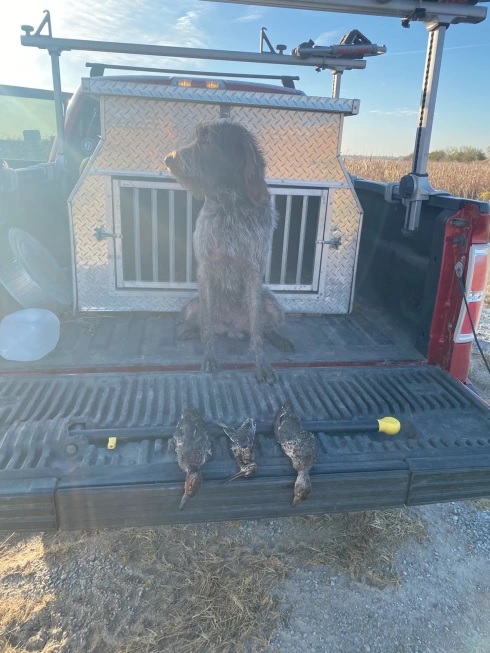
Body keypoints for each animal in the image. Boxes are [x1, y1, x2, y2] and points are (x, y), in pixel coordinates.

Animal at [165, 121, 294, 384]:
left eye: (206, 141)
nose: (168, 159)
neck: (231, 204)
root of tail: (232, 328)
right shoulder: (205, 267)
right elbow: (206, 327)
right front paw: (209, 357)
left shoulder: (253, 271)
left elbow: (257, 332)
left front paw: (261, 363)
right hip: (190, 309)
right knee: (201, 324)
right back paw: (189, 331)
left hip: (273, 305)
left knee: (264, 328)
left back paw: (280, 339)